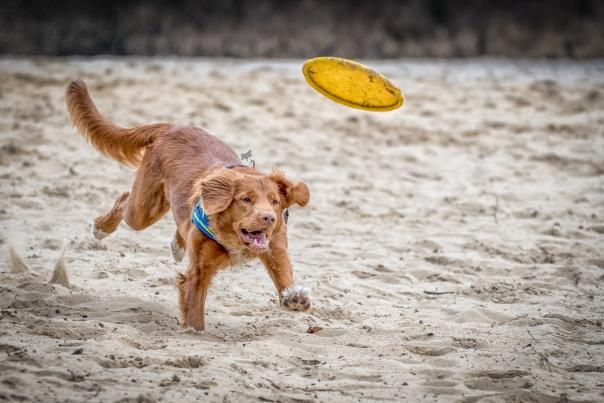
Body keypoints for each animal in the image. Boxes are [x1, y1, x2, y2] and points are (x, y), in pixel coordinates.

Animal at [66, 79, 312, 332]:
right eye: (246, 199)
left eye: (274, 202)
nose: (269, 218)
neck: (231, 235)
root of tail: (171, 127)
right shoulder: (199, 270)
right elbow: (195, 310)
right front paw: (195, 333)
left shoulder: (275, 247)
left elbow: (283, 273)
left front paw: (294, 297)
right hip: (144, 210)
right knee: (125, 200)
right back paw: (100, 228)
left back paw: (177, 243)